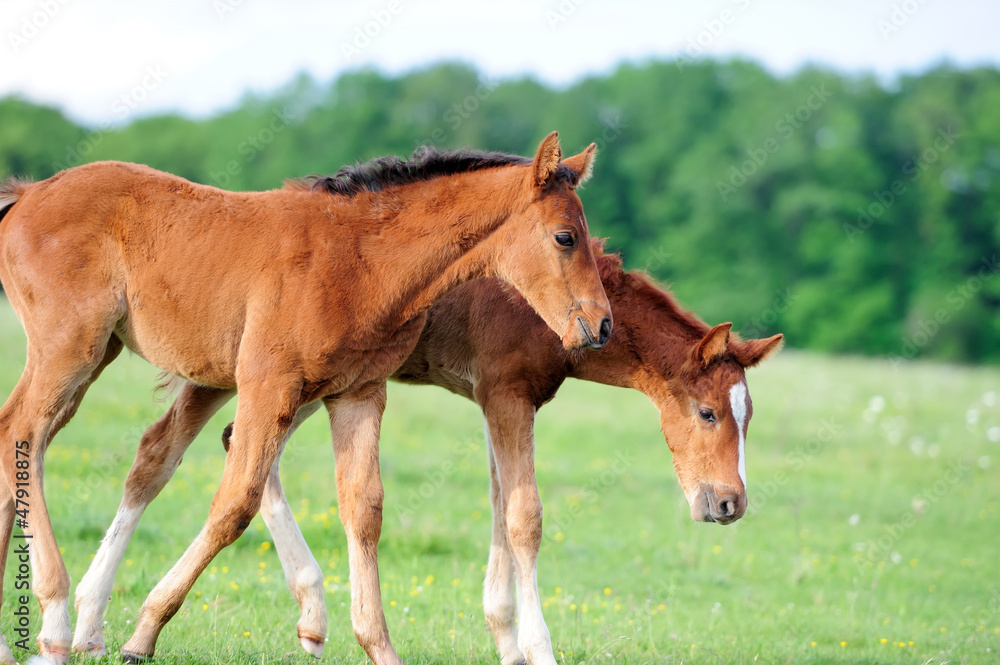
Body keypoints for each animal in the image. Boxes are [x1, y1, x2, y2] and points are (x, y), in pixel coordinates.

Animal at [0, 132, 613, 665]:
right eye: (565, 237)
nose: (602, 325)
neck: (362, 261)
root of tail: (30, 193)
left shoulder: (359, 393)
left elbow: (364, 509)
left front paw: (379, 647)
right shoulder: (267, 384)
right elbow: (235, 503)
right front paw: (144, 633)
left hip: (95, 355)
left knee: (21, 440)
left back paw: (17, 640)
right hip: (69, 349)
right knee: (23, 433)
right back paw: (55, 623)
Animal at [72, 242, 782, 665]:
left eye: (749, 417)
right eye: (708, 413)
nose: (729, 504)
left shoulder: (498, 400)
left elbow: (499, 508)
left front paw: (506, 642)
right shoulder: (506, 393)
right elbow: (524, 519)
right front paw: (538, 650)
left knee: (198, 451)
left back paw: (306, 616)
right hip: (250, 374)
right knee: (167, 454)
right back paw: (96, 621)